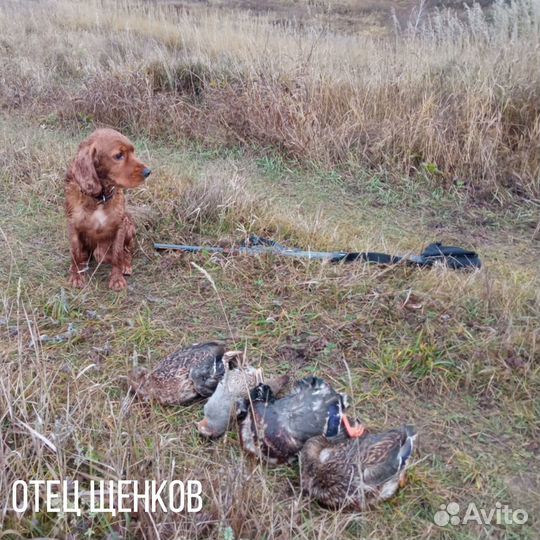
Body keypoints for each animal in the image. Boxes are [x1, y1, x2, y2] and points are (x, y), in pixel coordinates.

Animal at [64, 128, 151, 288]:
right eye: (118, 155)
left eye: (133, 151)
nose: (148, 172)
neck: (100, 198)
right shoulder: (73, 226)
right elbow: (75, 252)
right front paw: (76, 275)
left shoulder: (120, 226)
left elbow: (116, 254)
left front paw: (117, 279)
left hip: (129, 226)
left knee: (127, 251)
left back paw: (126, 265)